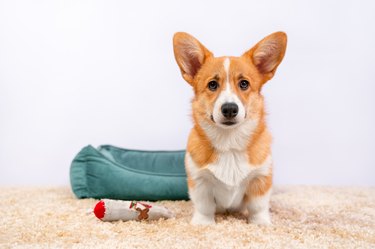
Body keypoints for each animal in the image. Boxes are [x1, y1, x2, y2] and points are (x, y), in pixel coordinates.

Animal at [173, 31, 288, 226]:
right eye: (212, 85)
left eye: (244, 84)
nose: (229, 109)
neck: (229, 143)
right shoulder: (200, 180)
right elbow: (204, 206)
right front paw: (203, 223)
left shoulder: (260, 178)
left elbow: (258, 206)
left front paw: (260, 223)